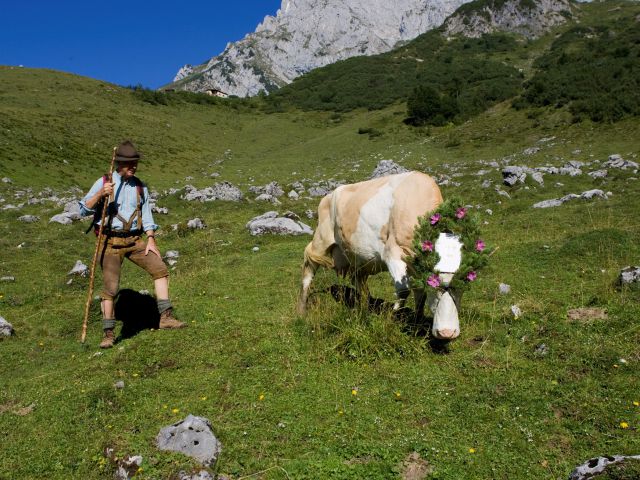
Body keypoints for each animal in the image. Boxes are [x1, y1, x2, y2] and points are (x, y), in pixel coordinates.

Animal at [298, 171, 462, 340]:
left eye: (463, 287)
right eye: (435, 287)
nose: (447, 333)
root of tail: (328, 196)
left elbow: (419, 293)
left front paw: (417, 323)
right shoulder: (392, 252)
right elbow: (404, 290)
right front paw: (393, 317)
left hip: (357, 257)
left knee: (360, 283)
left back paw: (364, 311)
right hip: (321, 241)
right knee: (308, 268)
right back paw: (302, 311)